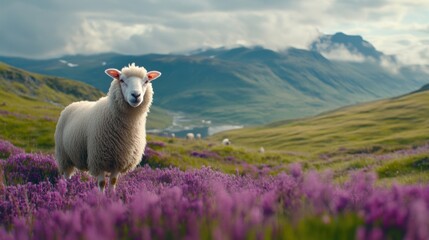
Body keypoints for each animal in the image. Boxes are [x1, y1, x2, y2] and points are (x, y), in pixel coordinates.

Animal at [53, 62, 160, 192]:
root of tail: (75, 103)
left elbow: (113, 181)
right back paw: (64, 189)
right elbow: (102, 183)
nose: (136, 95)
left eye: (146, 81)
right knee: (66, 176)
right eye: (122, 80)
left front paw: (111, 196)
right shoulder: (98, 159)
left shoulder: (119, 160)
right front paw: (101, 197)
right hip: (64, 156)